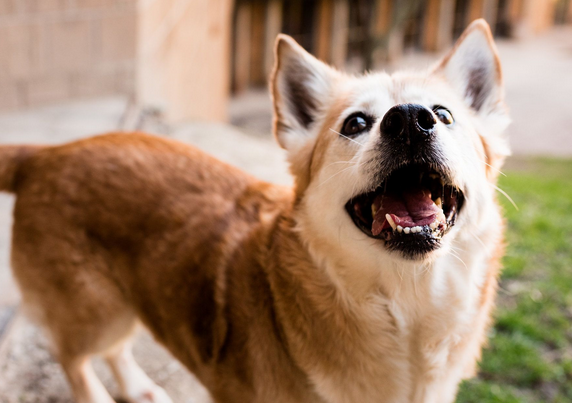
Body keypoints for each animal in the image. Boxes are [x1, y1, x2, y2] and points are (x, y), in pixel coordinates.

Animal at [0, 19, 510, 403]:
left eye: (443, 114)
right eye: (356, 123)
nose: (408, 120)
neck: (406, 305)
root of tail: (48, 154)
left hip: (123, 302)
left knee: (113, 351)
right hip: (95, 310)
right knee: (73, 357)